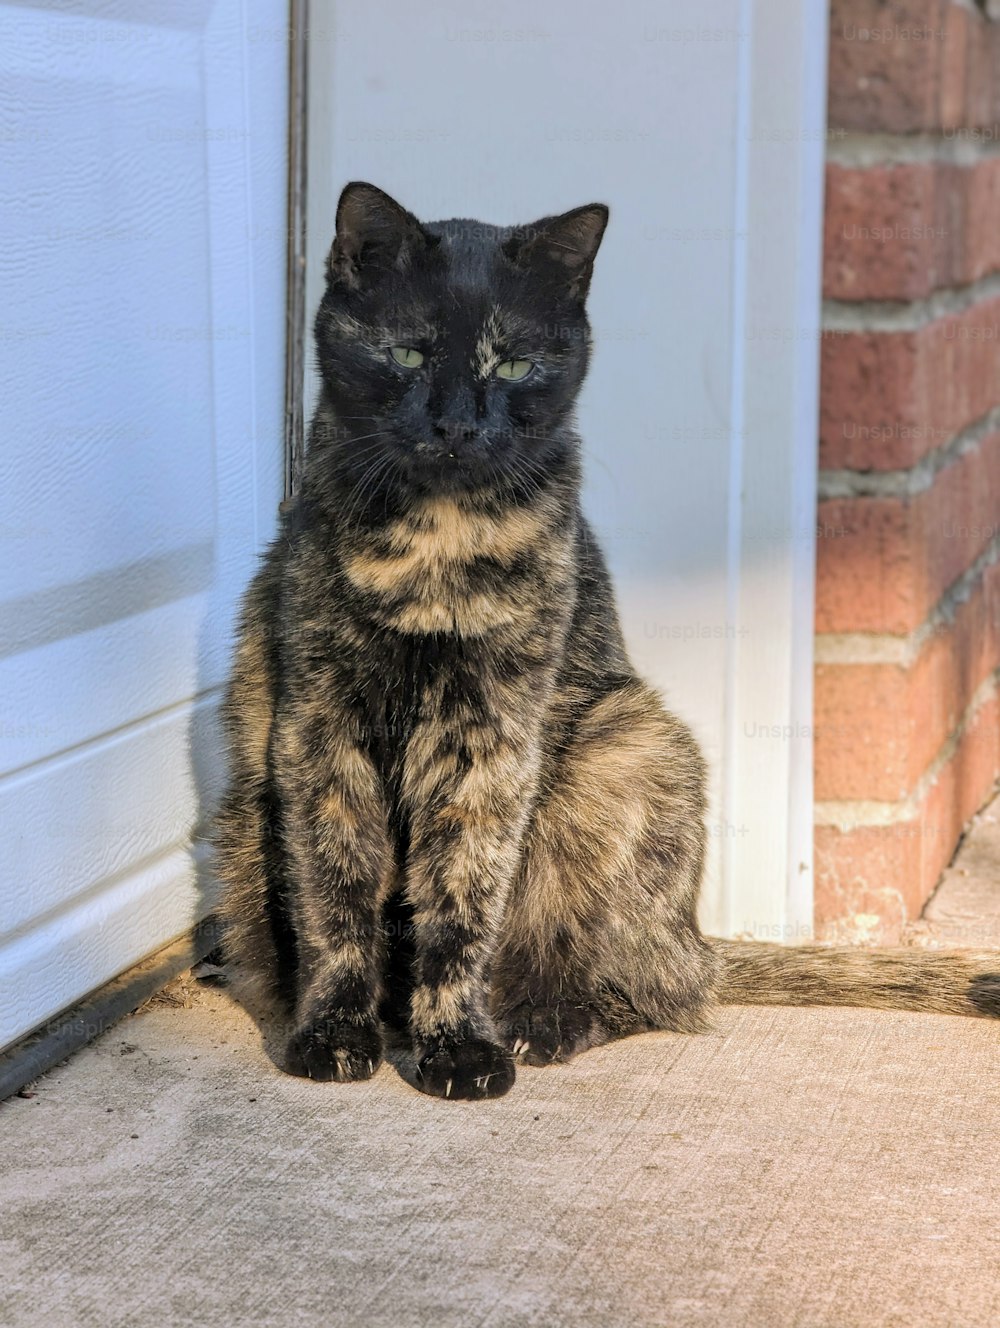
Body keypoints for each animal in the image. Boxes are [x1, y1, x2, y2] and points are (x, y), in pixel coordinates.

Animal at [216, 184, 998, 1099]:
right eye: (408, 355)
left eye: (513, 366)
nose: (457, 426)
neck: (435, 546)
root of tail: (701, 942)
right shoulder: (319, 725)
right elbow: (335, 891)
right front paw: (336, 1033)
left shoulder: (492, 736)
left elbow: (463, 892)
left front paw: (458, 1046)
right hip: (244, 821)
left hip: (626, 751)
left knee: (647, 989)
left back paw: (539, 1025)